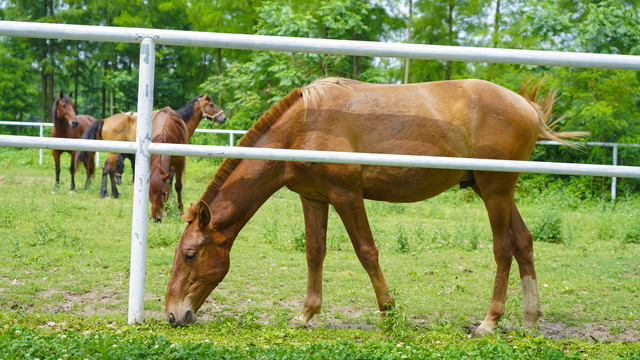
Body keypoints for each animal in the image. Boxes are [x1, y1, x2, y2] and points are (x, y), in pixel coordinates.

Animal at [165, 77, 584, 334]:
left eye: (189, 254)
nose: (172, 314)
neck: (306, 125)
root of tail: (526, 106)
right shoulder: (313, 197)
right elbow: (314, 253)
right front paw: (305, 314)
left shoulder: (347, 196)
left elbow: (366, 251)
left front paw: (390, 313)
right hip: (493, 191)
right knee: (524, 243)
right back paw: (530, 319)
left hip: (496, 192)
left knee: (503, 249)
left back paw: (489, 322)